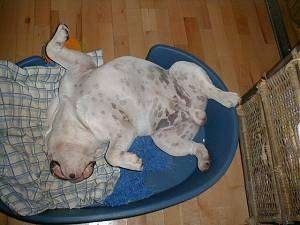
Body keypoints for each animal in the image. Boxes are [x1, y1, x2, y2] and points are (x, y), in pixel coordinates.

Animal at [45, 25, 240, 183]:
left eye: (53, 159)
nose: (54, 170)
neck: (75, 114)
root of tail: (197, 107)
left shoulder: (122, 127)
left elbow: (111, 155)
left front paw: (133, 163)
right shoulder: (77, 70)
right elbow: (53, 50)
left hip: (182, 68)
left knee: (209, 89)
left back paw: (229, 98)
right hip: (166, 141)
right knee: (196, 145)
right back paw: (203, 156)